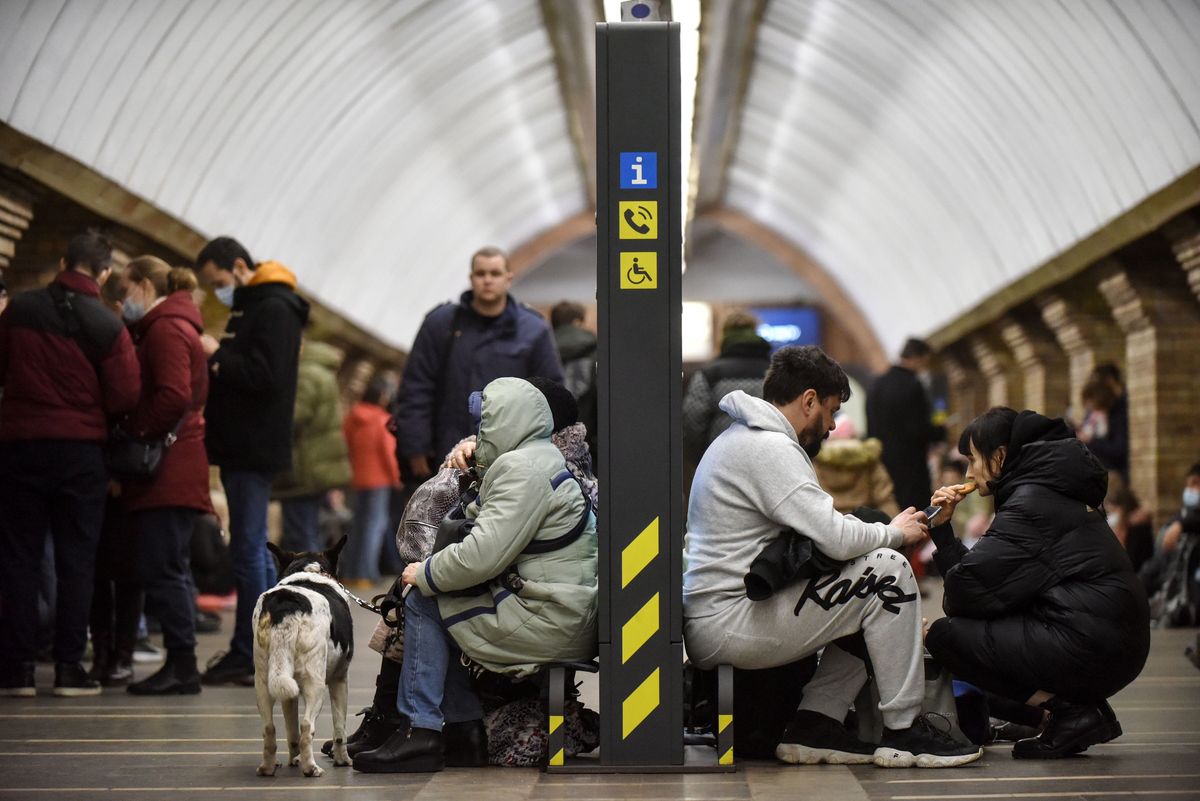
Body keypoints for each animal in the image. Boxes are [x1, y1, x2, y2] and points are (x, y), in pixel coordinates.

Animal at [250, 537, 350, 777]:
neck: (308, 571)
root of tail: (286, 605)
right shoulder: (339, 680)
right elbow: (340, 729)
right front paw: (343, 760)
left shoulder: (289, 695)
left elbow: (291, 732)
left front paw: (294, 760)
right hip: (316, 684)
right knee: (307, 727)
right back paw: (311, 768)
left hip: (265, 681)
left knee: (270, 728)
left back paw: (268, 767)